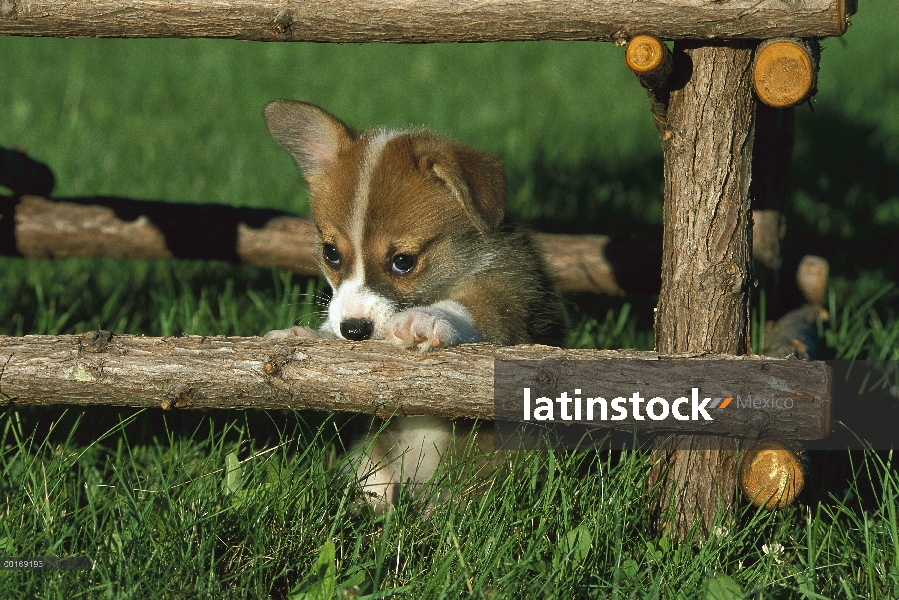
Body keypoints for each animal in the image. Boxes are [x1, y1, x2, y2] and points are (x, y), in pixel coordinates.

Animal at [264, 99, 568, 510]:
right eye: (331, 254)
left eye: (403, 262)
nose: (353, 330)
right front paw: (304, 336)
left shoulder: (510, 296)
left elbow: (474, 309)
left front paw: (424, 319)